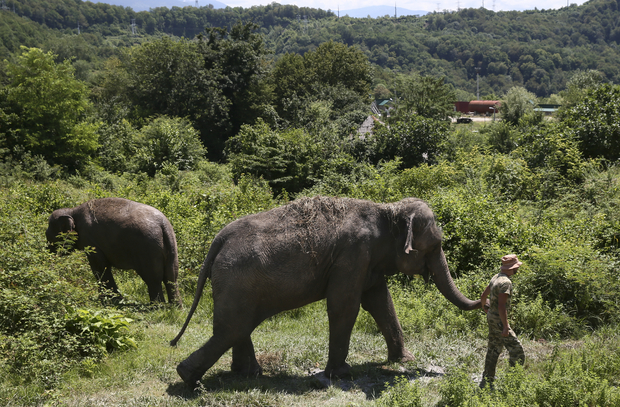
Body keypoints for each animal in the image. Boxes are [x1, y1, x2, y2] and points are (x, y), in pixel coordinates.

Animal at [46, 198, 182, 306]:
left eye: (47, 234)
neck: (72, 210)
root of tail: (163, 225)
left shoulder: (90, 239)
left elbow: (99, 267)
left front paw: (109, 302)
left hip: (148, 248)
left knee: (153, 279)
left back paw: (157, 307)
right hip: (171, 246)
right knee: (171, 276)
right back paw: (175, 308)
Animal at [172, 196, 482, 388]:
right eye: (434, 245)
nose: (484, 297)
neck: (387, 210)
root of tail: (219, 239)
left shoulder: (367, 261)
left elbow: (380, 302)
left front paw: (404, 360)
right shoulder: (353, 254)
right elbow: (345, 304)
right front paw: (341, 375)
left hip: (238, 282)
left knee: (239, 326)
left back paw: (247, 374)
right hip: (238, 279)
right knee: (233, 327)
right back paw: (187, 378)